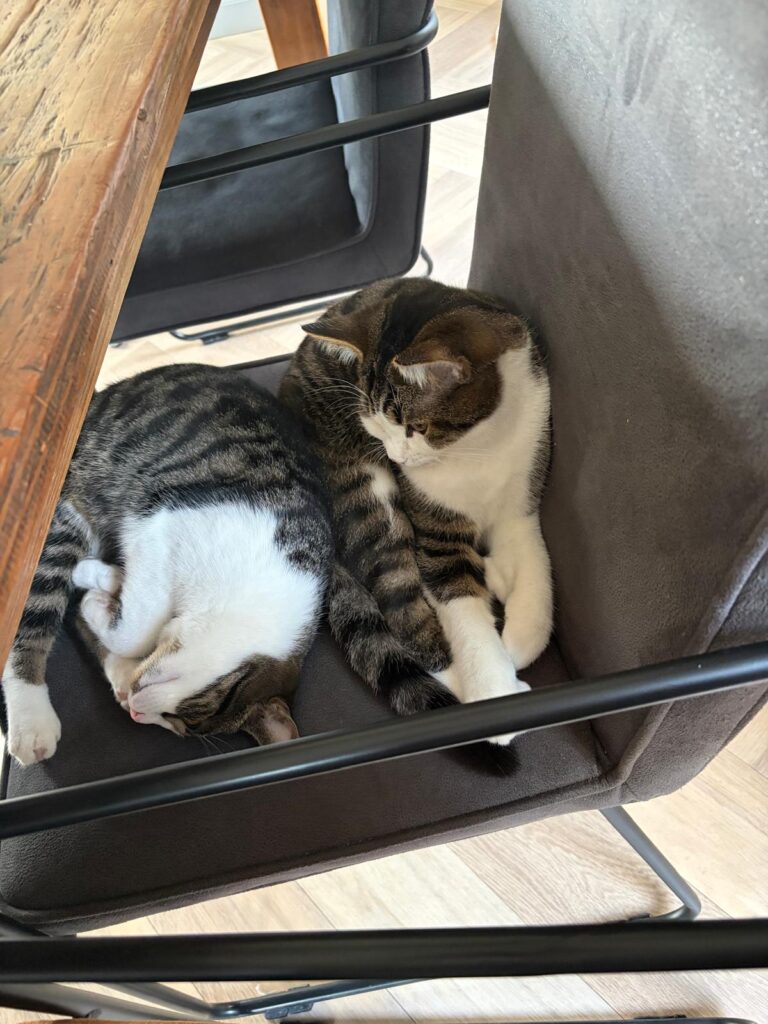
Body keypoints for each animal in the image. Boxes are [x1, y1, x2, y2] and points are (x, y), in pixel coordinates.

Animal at [2, 364, 333, 766]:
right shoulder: (159, 522)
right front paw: (94, 588)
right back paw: (31, 719)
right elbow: (136, 629)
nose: (136, 713)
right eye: (189, 712)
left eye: (179, 724)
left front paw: (108, 583)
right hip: (65, 512)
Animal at [280, 278, 552, 755]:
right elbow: (459, 608)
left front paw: (520, 638)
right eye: (375, 428)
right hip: (366, 492)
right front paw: (496, 698)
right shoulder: (435, 532)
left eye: (416, 428)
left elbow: (537, 573)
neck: (476, 447)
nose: (395, 457)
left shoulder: (523, 492)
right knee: (401, 605)